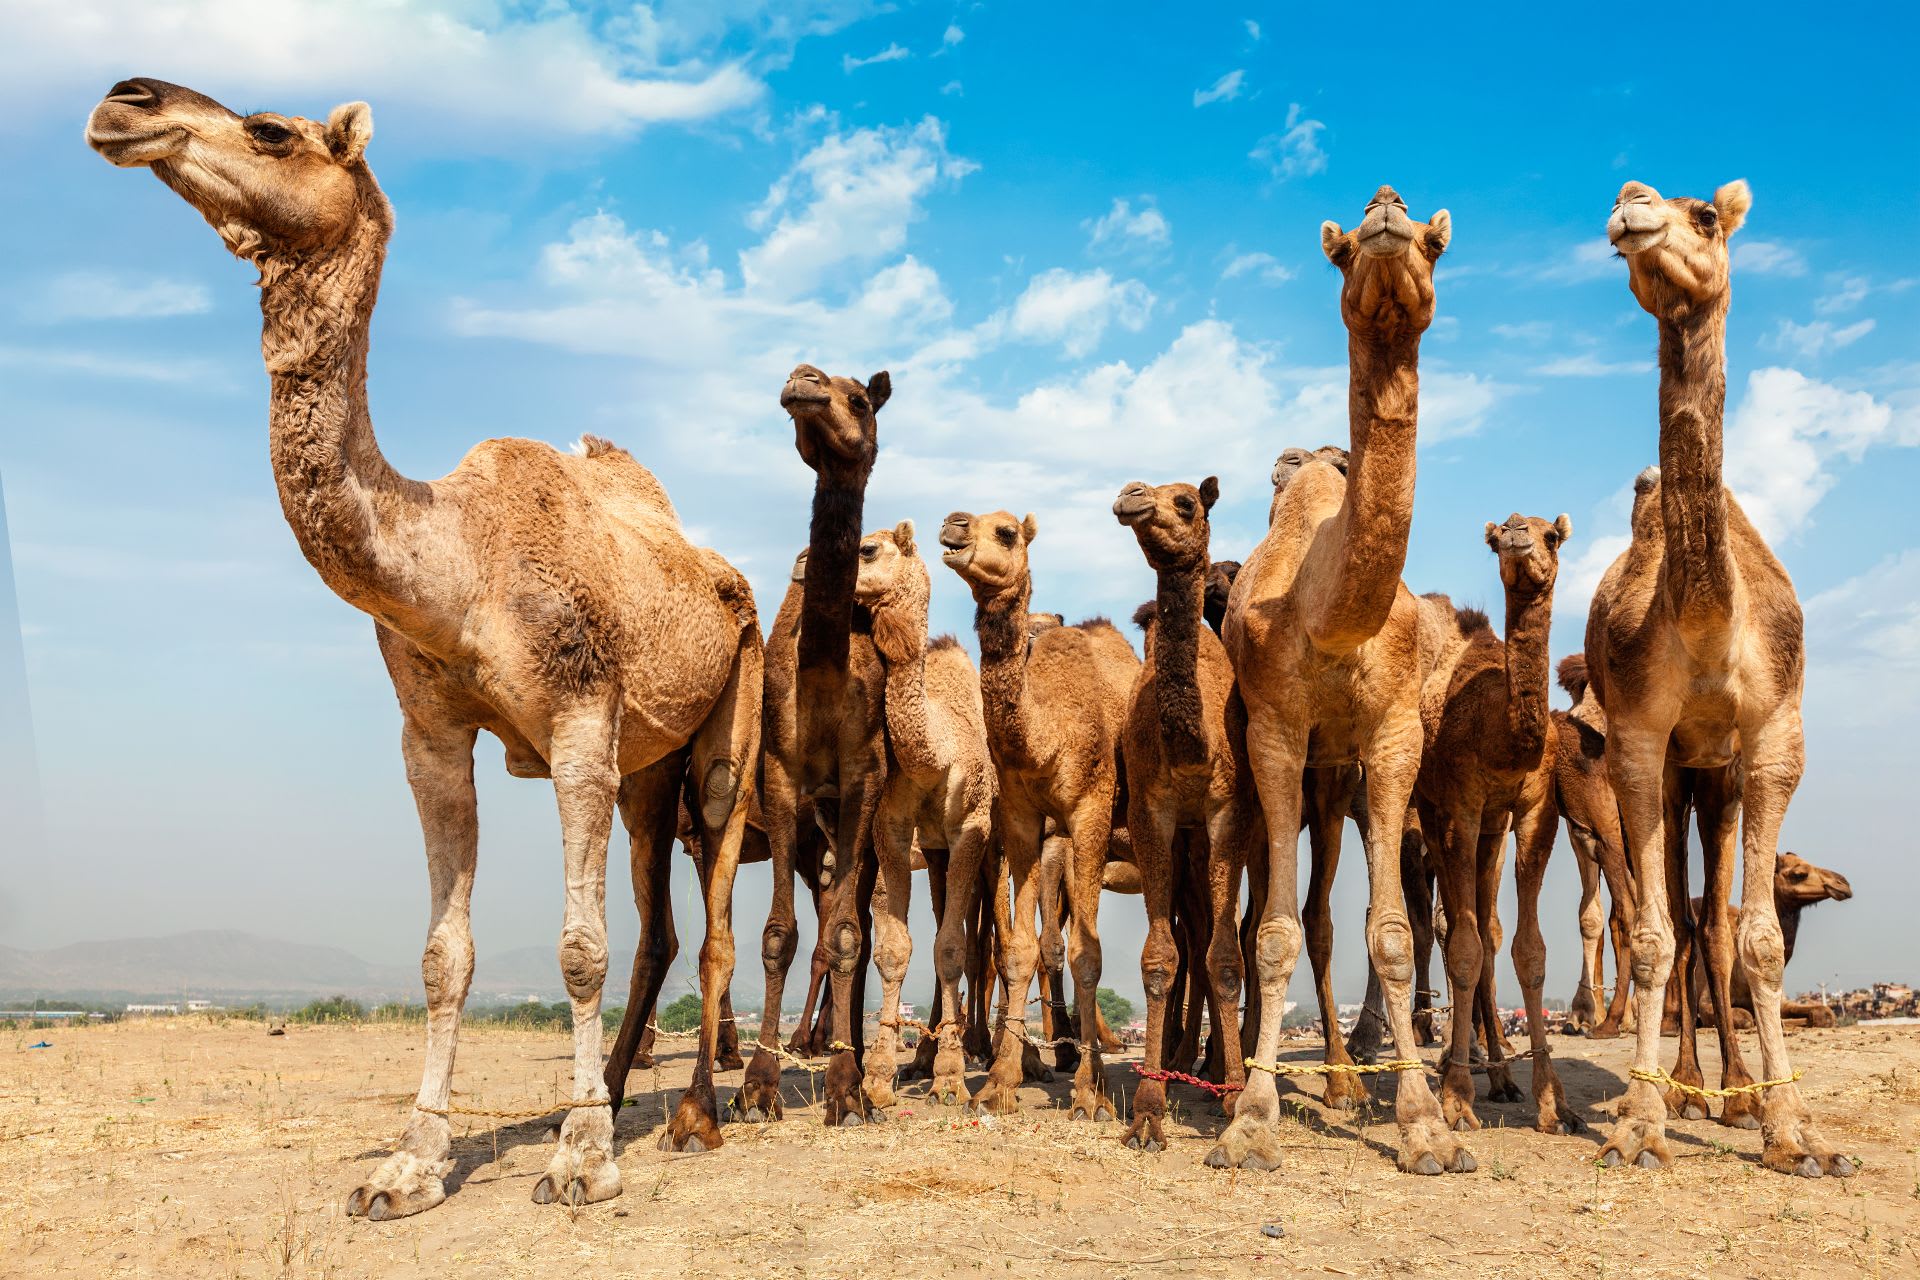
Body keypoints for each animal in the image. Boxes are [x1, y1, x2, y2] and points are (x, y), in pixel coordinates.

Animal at [85, 79, 762, 1215]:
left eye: (272, 130)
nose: (124, 102)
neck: (457, 559)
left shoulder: (579, 719)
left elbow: (578, 947)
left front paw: (581, 1159)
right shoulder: (431, 733)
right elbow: (446, 954)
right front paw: (412, 1162)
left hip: (729, 714)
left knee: (712, 911)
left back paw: (696, 1116)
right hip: (645, 768)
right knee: (662, 924)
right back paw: (623, 1089)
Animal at [940, 511, 1139, 1117]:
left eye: (1006, 532)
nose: (953, 525)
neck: (1046, 735)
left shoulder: (1087, 814)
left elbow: (1085, 953)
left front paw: (1089, 1090)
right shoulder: (1023, 820)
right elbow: (1022, 948)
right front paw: (1001, 1081)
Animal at [1212, 186, 1465, 1176]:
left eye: (1435, 241)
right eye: (1342, 247)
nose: (1388, 210)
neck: (1329, 610)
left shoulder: (1392, 735)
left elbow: (1389, 932)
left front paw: (1427, 1126)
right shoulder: (1277, 733)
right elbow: (1275, 932)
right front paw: (1249, 1120)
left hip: (1340, 780)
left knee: (1331, 913)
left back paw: (1353, 1085)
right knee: (1294, 915)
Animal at [1414, 513, 1583, 1137]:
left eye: (1550, 534)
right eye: (1501, 533)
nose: (1516, 537)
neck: (1504, 737)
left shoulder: (1535, 810)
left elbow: (1527, 950)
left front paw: (1554, 1103)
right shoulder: (1461, 804)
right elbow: (1462, 947)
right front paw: (1457, 1100)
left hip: (1492, 830)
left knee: (1487, 927)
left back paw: (1503, 1078)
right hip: (1434, 812)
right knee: (1454, 928)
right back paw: (1456, 1068)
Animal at [1588, 178, 1850, 1177]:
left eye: (1705, 216)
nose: (1631, 208)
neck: (1706, 617)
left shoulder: (1774, 733)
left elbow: (1762, 939)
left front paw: (1792, 1132)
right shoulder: (1636, 739)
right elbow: (1655, 934)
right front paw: (1641, 1123)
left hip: (1722, 775)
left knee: (1716, 917)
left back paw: (1733, 1095)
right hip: (1678, 772)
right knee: (1686, 913)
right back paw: (1690, 1088)